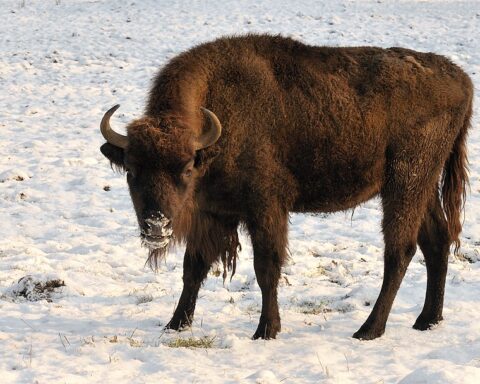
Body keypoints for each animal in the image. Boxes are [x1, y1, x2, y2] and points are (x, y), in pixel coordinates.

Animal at [98, 33, 472, 340]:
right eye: (131, 170)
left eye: (187, 168)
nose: (156, 225)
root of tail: (462, 80)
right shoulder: (213, 212)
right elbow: (194, 268)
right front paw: (175, 324)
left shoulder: (265, 210)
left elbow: (266, 268)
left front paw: (266, 330)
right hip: (423, 188)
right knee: (436, 241)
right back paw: (427, 320)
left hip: (404, 184)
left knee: (399, 251)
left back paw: (369, 330)